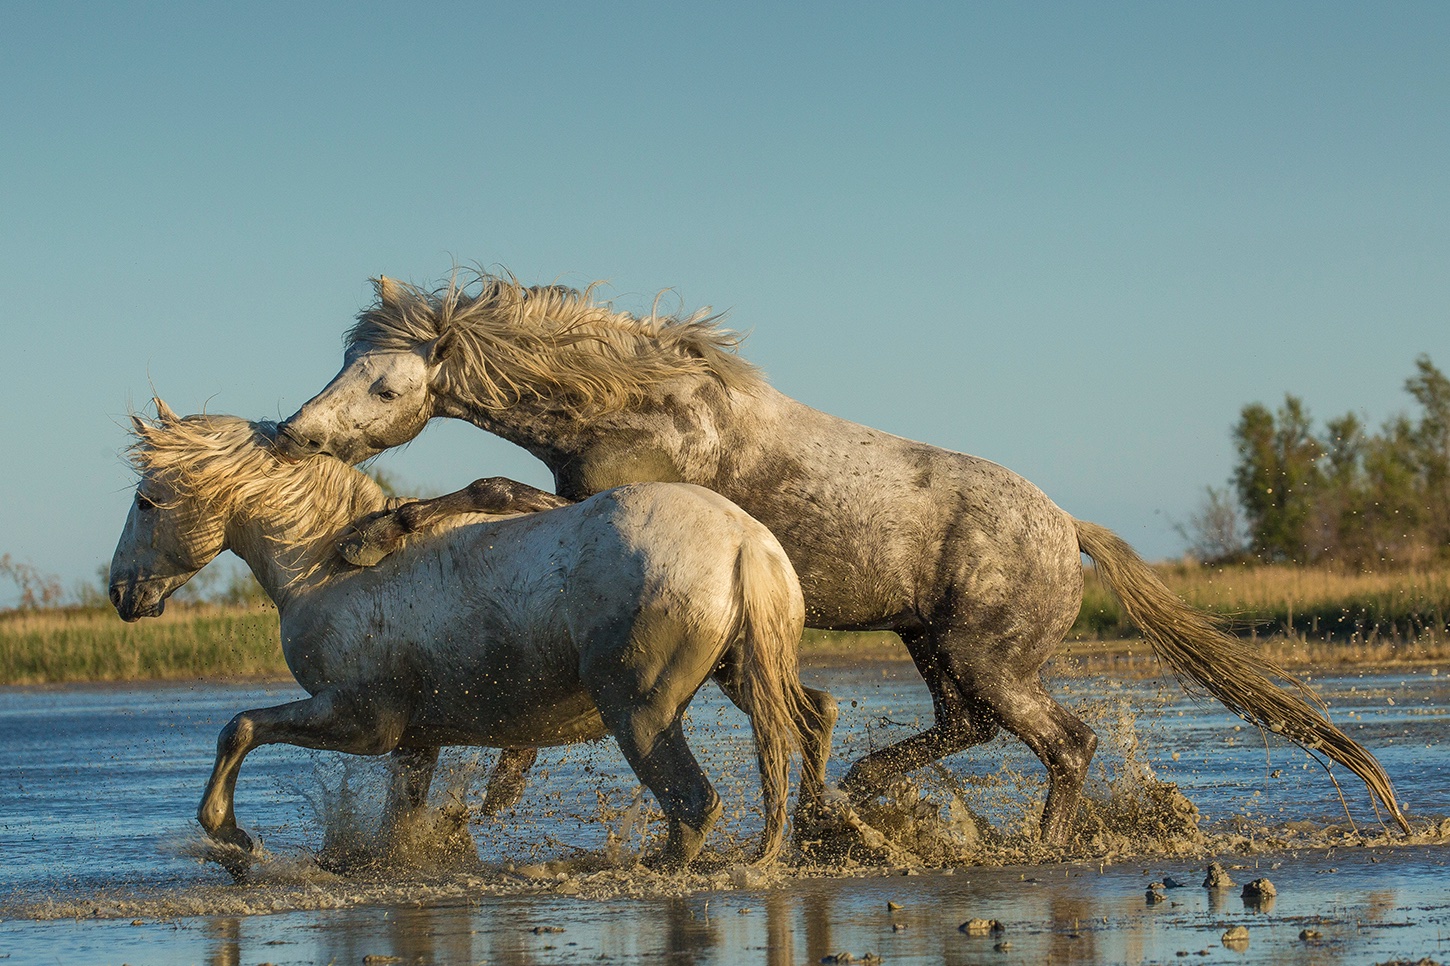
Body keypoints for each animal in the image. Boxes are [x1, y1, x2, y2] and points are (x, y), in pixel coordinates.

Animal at [110, 403, 841, 870]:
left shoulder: (363, 721)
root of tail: (745, 544)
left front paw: (231, 840)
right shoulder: (416, 740)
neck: (323, 567)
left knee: (695, 804)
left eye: (145, 502)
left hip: (639, 712)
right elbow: (397, 823)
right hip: (739, 675)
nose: (121, 595)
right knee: (811, 719)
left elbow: (239, 727)